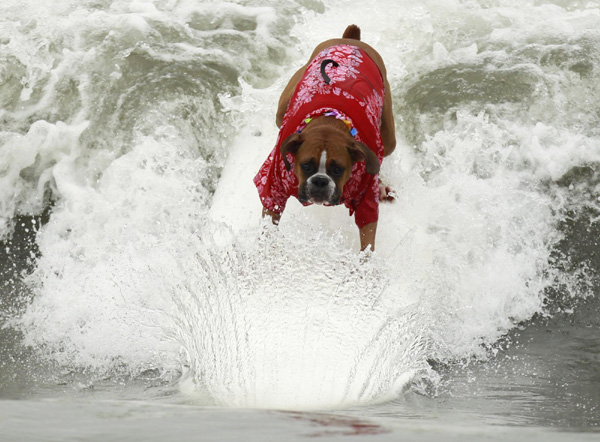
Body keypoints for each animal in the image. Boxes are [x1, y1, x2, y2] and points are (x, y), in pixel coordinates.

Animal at [252, 25, 396, 252]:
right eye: (306, 165)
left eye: (338, 169)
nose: (320, 181)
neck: (330, 123)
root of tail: (350, 40)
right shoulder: (274, 185)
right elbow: (269, 219)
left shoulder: (366, 198)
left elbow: (368, 238)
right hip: (281, 109)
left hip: (389, 137)